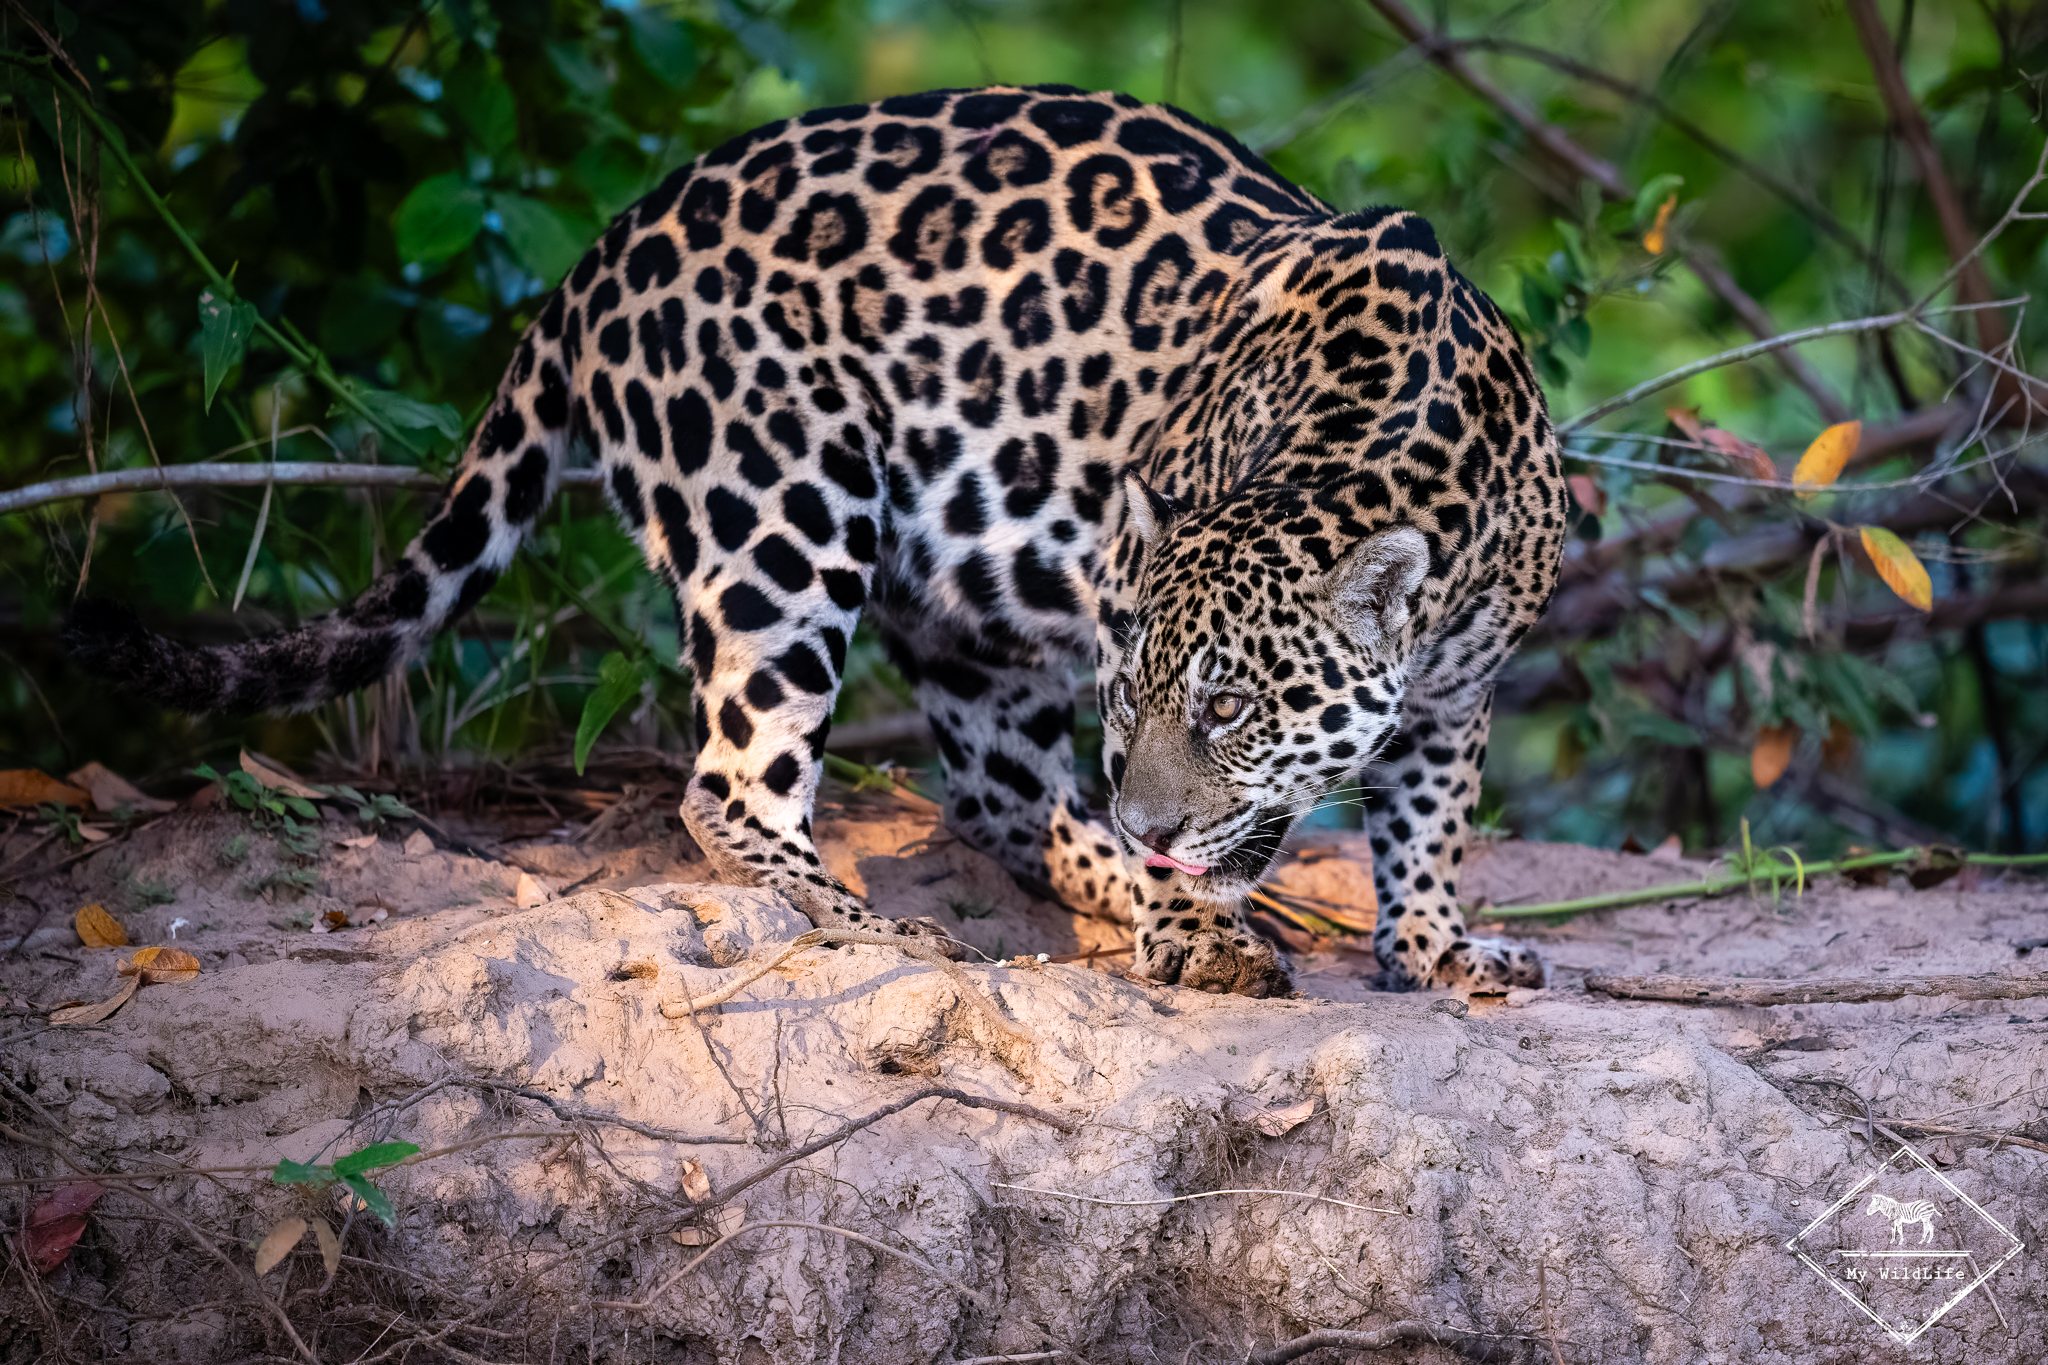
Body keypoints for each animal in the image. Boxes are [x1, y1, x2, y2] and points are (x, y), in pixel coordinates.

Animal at [69, 85, 1562, 998]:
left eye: (1234, 706)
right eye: (1131, 700)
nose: (1153, 821)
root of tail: (609, 242)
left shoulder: (1462, 681)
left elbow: (1431, 813)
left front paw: (1435, 944)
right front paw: (1198, 930)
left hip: (968, 609)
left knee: (996, 799)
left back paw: (1085, 872)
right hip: (780, 518)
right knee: (731, 786)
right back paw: (868, 910)